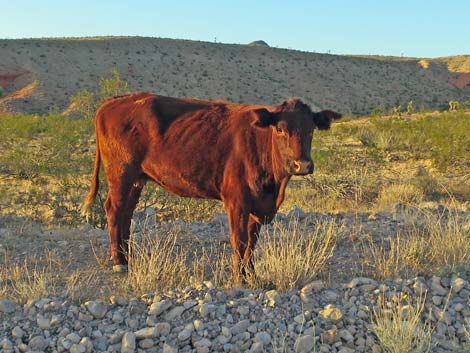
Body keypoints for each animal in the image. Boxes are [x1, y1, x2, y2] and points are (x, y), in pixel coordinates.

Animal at [82, 92, 342, 282]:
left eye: (310, 129)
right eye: (280, 129)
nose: (303, 164)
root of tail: (116, 100)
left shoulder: (257, 207)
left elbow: (252, 244)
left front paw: (252, 276)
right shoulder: (236, 202)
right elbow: (240, 241)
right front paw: (239, 279)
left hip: (137, 178)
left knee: (126, 213)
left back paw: (128, 258)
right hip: (121, 173)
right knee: (114, 209)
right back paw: (118, 262)